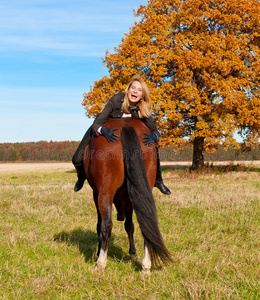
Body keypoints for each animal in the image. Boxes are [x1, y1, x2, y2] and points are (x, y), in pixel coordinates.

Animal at [84, 118, 173, 274]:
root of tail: (125, 125)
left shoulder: (96, 193)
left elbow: (100, 225)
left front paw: (99, 252)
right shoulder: (129, 197)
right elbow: (129, 225)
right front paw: (132, 251)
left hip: (104, 193)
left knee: (106, 225)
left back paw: (100, 263)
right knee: (146, 221)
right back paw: (146, 265)